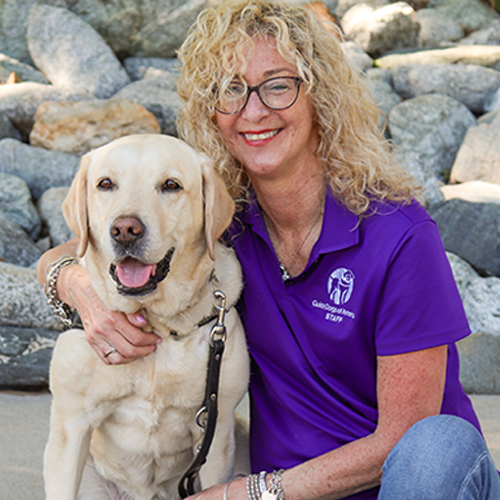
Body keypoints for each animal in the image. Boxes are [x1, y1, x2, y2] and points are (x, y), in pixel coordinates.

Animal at [45, 135, 250, 498]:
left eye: (171, 185)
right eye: (105, 184)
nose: (125, 229)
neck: (157, 324)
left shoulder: (218, 428)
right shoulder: (70, 425)